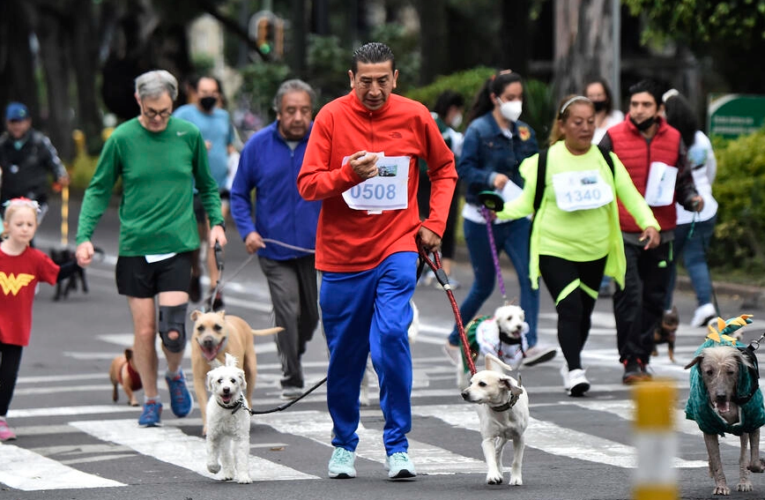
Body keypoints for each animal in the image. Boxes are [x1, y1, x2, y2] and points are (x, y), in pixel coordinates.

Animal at [206, 354, 251, 482]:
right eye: (219, 380)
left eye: (233, 380)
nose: (226, 389)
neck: (227, 409)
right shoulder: (214, 435)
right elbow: (212, 454)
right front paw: (214, 468)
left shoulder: (241, 437)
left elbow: (242, 457)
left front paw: (243, 476)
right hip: (223, 437)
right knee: (225, 455)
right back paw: (227, 473)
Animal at [460, 352, 532, 484]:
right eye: (470, 383)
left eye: (482, 384)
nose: (464, 394)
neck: (501, 410)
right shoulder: (488, 440)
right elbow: (491, 459)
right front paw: (493, 475)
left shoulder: (519, 438)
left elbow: (516, 461)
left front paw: (516, 478)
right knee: (497, 452)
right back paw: (499, 470)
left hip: (506, 436)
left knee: (498, 450)